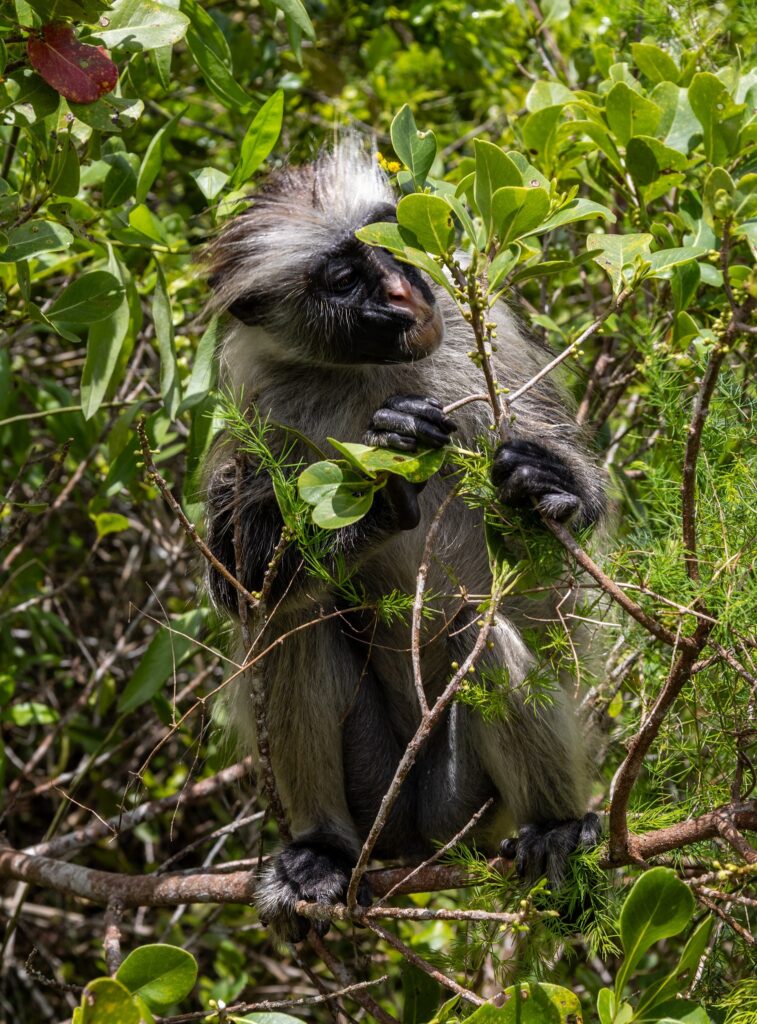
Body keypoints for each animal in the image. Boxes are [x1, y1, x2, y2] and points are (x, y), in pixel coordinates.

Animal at [201, 140, 602, 937]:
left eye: (389, 245)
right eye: (343, 279)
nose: (400, 293)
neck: (370, 374)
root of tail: (413, 832)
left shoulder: (486, 337)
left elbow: (570, 513)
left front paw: (550, 483)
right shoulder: (262, 402)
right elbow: (241, 583)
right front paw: (377, 498)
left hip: (467, 803)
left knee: (481, 632)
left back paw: (554, 829)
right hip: (375, 792)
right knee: (294, 623)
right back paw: (321, 851)